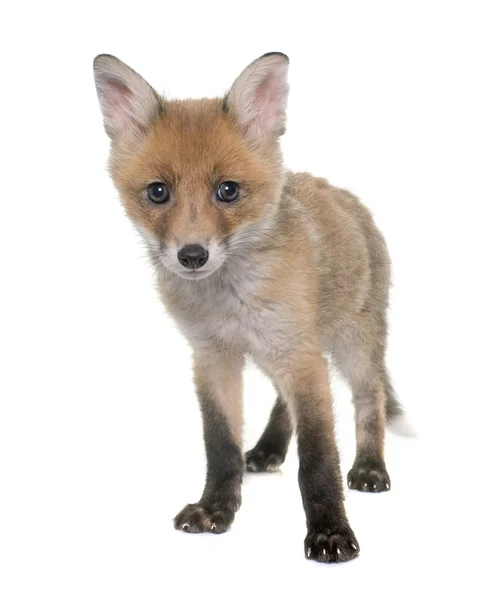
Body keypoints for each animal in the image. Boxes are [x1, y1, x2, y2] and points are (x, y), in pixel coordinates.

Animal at [93, 51, 404, 564]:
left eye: (228, 191)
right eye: (158, 192)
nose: (192, 255)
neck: (228, 303)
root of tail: (344, 194)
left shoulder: (300, 357)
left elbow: (318, 460)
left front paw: (330, 532)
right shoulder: (213, 356)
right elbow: (220, 445)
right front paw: (215, 509)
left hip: (351, 347)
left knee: (370, 398)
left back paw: (370, 466)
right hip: (279, 354)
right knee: (282, 404)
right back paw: (268, 449)